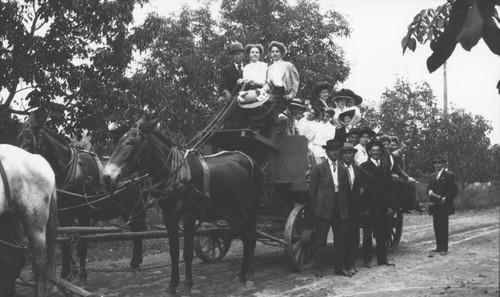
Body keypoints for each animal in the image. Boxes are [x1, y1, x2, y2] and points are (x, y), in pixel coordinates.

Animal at [15, 109, 147, 282]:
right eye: (17, 140)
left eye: (28, 143)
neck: (70, 171)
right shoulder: (64, 215)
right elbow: (65, 243)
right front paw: (65, 274)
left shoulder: (84, 213)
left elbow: (82, 244)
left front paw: (83, 275)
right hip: (127, 210)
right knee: (136, 232)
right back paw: (136, 262)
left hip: (135, 207)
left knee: (138, 232)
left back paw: (134, 264)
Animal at [102, 116, 266, 296]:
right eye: (118, 141)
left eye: (130, 142)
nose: (107, 176)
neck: (176, 174)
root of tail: (252, 160)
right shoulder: (169, 217)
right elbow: (174, 252)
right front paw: (171, 286)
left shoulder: (189, 216)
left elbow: (187, 253)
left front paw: (187, 286)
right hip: (233, 212)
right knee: (246, 238)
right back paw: (243, 274)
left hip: (250, 209)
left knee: (250, 239)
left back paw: (248, 276)